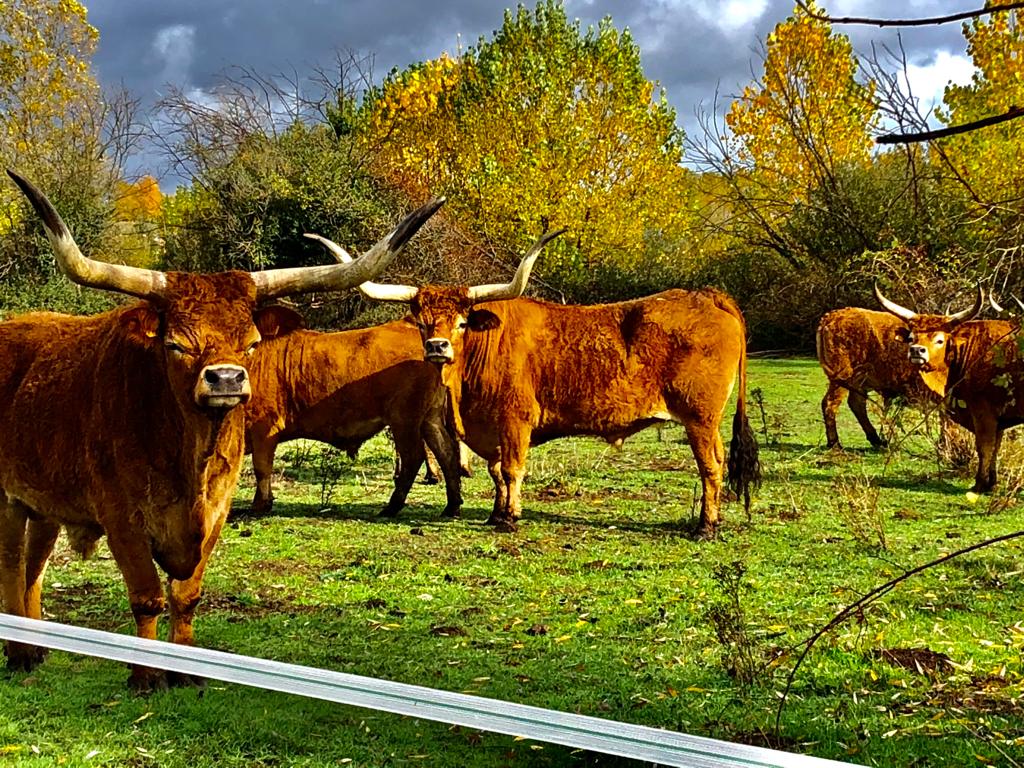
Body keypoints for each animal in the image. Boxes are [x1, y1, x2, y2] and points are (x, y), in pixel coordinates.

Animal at [0, 173, 436, 692]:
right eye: (175, 344)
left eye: (250, 342)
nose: (226, 379)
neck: (188, 458)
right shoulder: (121, 516)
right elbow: (147, 596)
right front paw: (146, 675)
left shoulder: (218, 509)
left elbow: (186, 595)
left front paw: (186, 673)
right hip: (6, 500)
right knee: (11, 565)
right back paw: (20, 654)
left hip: (43, 502)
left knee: (33, 566)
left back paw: (37, 648)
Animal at [242, 315, 460, 520]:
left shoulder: (263, 428)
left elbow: (261, 468)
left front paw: (259, 505)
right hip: (430, 418)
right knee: (446, 452)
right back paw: (452, 506)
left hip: (404, 420)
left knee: (413, 457)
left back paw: (392, 507)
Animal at [311, 231, 761, 536]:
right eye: (422, 323)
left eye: (461, 323)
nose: (438, 347)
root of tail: (708, 295)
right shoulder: (490, 427)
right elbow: (494, 470)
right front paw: (496, 512)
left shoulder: (515, 421)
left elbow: (511, 469)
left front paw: (509, 518)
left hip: (701, 418)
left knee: (712, 465)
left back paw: (706, 526)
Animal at [815, 309, 942, 450]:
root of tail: (832, 315)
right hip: (842, 378)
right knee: (830, 403)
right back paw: (835, 443)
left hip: (858, 381)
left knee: (857, 404)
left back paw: (876, 440)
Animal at [872, 286, 1024, 493]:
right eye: (911, 337)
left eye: (939, 340)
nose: (917, 351)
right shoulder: (998, 418)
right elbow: (995, 448)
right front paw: (991, 483)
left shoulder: (983, 412)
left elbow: (984, 447)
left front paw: (979, 484)